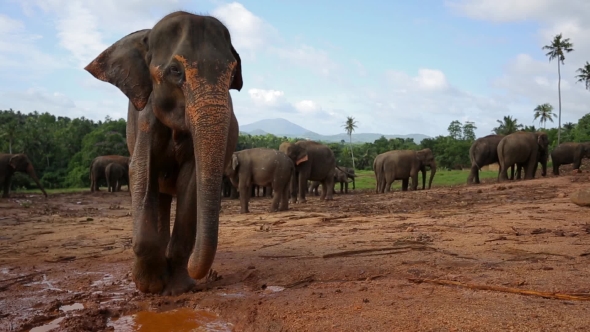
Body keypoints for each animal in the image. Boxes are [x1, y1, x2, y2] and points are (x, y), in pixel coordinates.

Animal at [83, 11, 243, 296]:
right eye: (175, 71)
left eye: (233, 72)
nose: (200, 272)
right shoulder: (145, 118)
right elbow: (140, 171)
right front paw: (149, 286)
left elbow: (191, 182)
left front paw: (177, 288)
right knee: (158, 194)